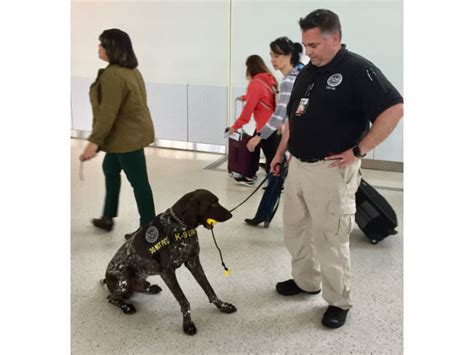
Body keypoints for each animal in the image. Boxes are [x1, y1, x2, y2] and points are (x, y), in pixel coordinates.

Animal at [103, 191, 237, 336]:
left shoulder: (194, 263)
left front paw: (223, 306)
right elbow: (184, 301)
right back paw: (126, 306)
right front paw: (188, 324)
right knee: (112, 298)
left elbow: (210, 290)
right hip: (124, 278)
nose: (231, 215)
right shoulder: (167, 273)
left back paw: (150, 288)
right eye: (212, 204)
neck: (180, 227)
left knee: (139, 287)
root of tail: (106, 278)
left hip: (140, 278)